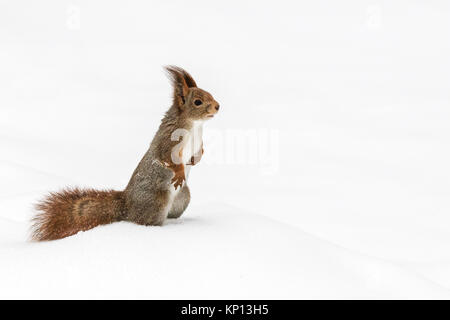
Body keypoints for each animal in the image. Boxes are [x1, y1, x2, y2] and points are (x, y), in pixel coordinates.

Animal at [30, 65, 221, 240]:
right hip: (157, 203)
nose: (218, 106)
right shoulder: (169, 141)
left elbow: (200, 151)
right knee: (143, 221)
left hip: (183, 198)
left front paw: (196, 159)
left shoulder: (197, 142)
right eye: (198, 102)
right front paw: (180, 172)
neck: (195, 125)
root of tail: (126, 206)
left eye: (209, 93)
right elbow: (166, 157)